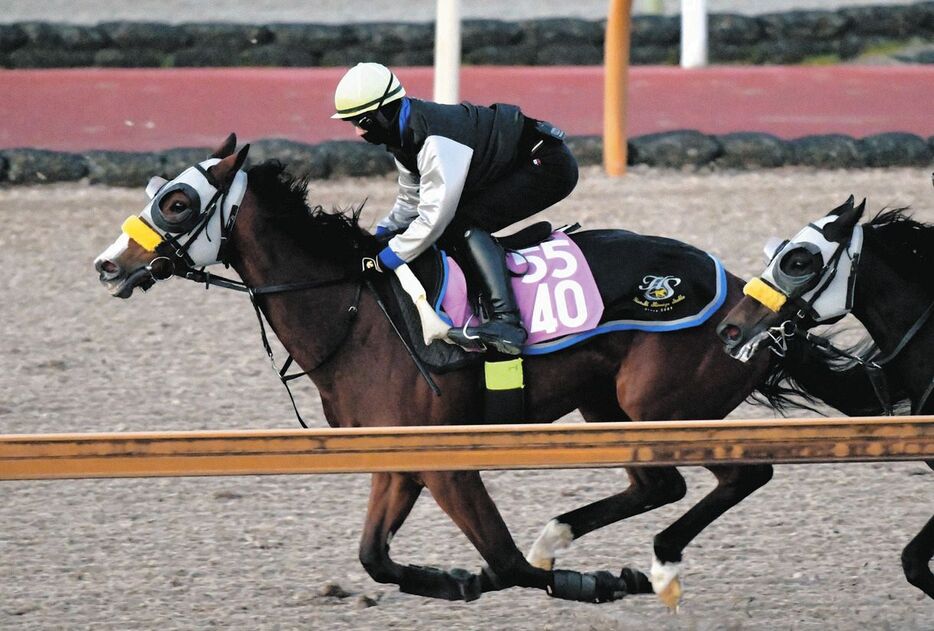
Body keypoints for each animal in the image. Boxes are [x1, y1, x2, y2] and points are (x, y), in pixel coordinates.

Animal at [95, 137, 884, 608]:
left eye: (176, 202)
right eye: (158, 189)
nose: (108, 264)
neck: (356, 313)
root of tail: (751, 296)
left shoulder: (448, 460)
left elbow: (503, 561)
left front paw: (599, 579)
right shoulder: (399, 457)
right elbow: (375, 557)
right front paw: (453, 579)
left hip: (661, 404)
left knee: (742, 473)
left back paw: (653, 563)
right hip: (609, 406)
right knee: (661, 484)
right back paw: (563, 533)